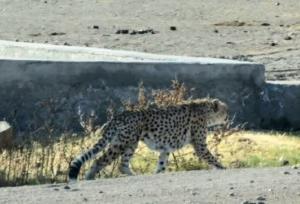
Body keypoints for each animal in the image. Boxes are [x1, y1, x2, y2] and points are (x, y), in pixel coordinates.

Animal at [68, 98, 227, 181]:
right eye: (226, 111)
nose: (227, 118)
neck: (206, 111)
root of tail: (120, 115)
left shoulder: (165, 148)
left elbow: (161, 164)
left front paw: (157, 174)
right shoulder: (200, 145)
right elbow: (211, 157)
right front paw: (223, 168)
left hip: (130, 143)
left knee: (122, 164)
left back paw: (134, 175)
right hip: (122, 143)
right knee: (100, 160)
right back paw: (89, 177)